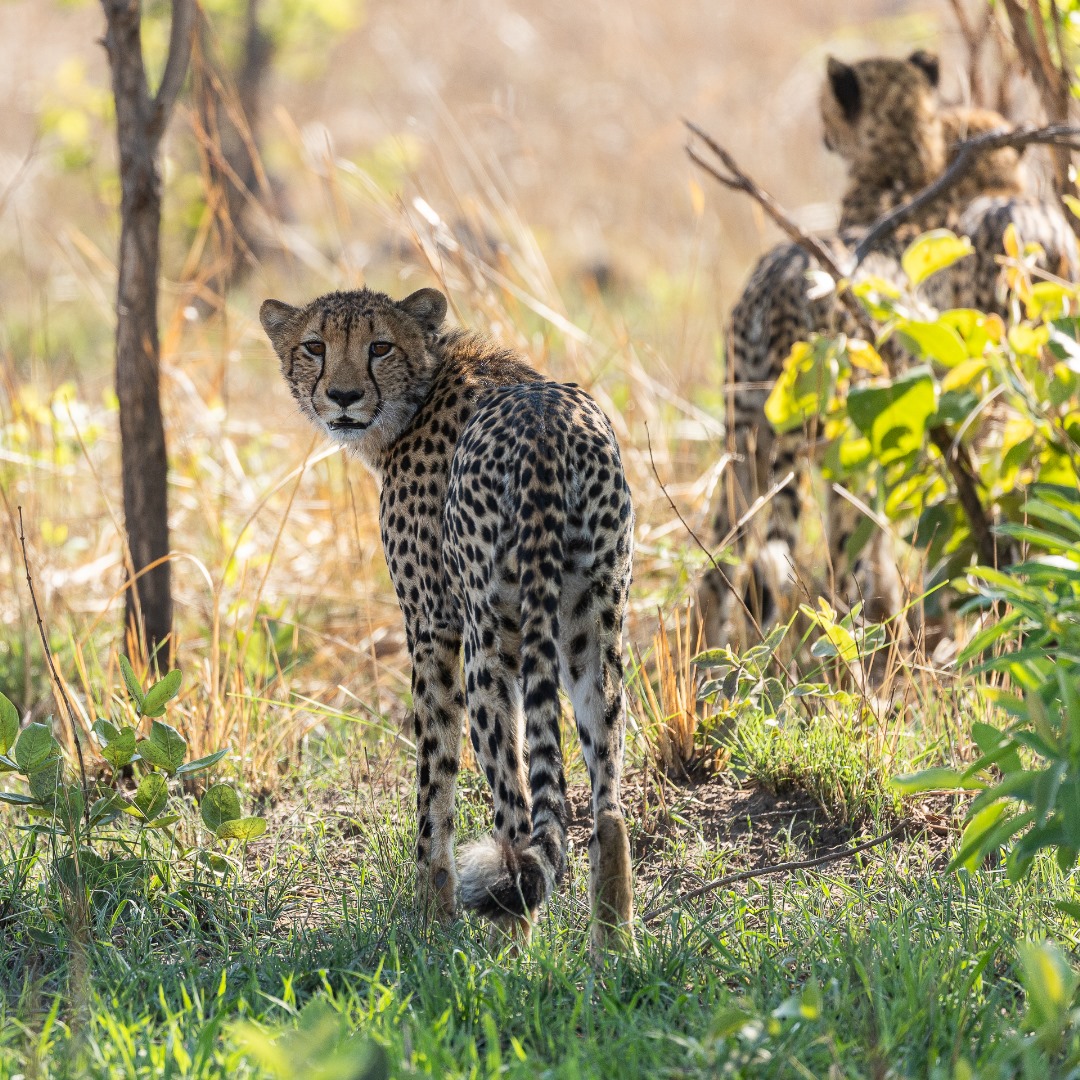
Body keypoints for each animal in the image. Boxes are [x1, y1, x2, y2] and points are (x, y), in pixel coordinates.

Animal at [258, 285, 635, 946]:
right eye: (315, 346)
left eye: (380, 346)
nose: (344, 397)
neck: (422, 387)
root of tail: (547, 422)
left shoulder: (431, 626)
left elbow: (433, 782)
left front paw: (431, 921)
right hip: (591, 623)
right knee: (607, 804)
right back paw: (614, 952)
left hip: (490, 641)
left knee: (517, 814)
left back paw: (510, 948)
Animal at [699, 48, 1080, 648]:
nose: (824, 131)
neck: (898, 176)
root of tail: (773, 286)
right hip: (830, 441)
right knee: (822, 571)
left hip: (746, 439)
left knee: (720, 569)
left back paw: (715, 666)